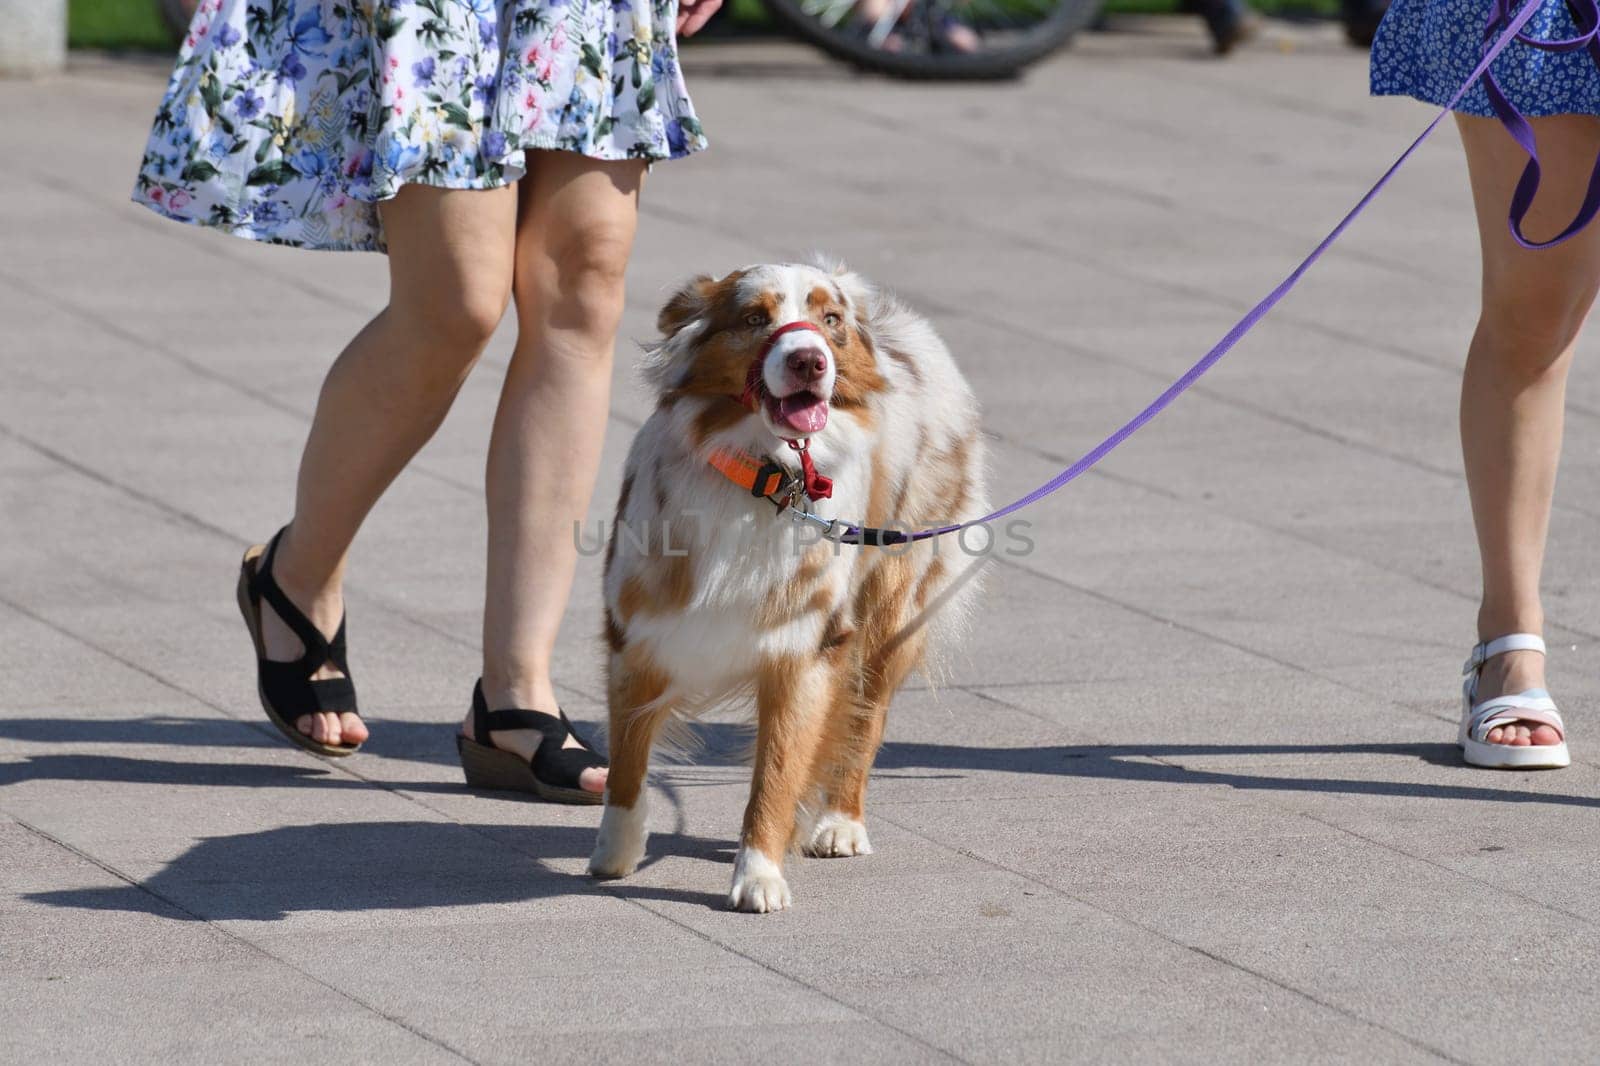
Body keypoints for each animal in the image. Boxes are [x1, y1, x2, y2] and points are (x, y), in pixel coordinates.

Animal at [588, 260, 985, 909]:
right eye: (755, 317)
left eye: (831, 319)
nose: (809, 361)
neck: (766, 475)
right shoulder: (638, 630)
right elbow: (627, 759)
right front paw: (614, 853)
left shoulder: (804, 646)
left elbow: (775, 772)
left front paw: (758, 875)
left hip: (890, 610)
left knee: (864, 718)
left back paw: (840, 823)